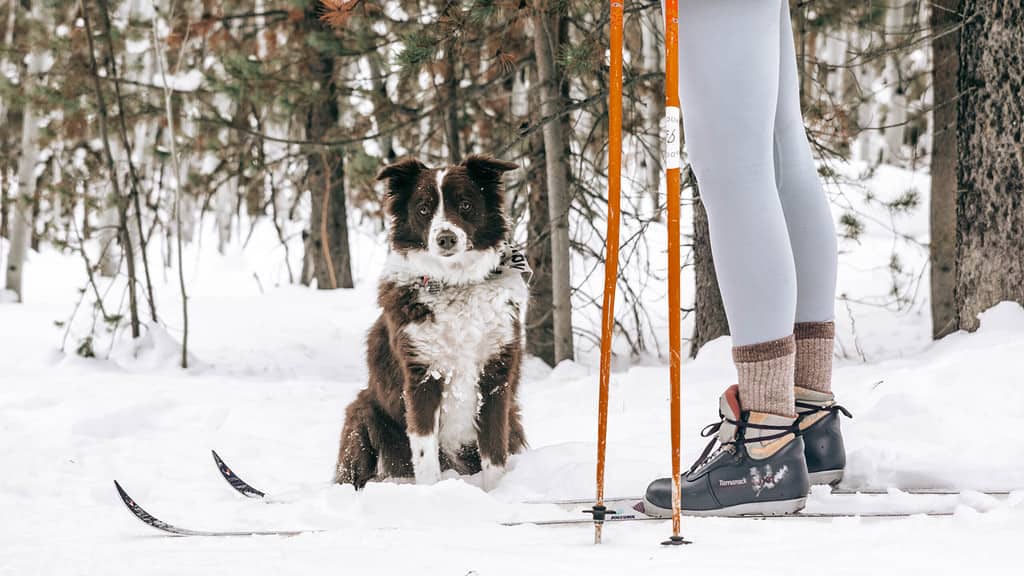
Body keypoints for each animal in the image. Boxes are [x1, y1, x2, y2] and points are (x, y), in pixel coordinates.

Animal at [333, 153, 528, 487]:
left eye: (465, 204)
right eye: (423, 208)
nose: (445, 238)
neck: (455, 283)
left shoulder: (495, 377)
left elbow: (494, 454)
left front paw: (495, 493)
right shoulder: (421, 376)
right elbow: (425, 456)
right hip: (363, 413)